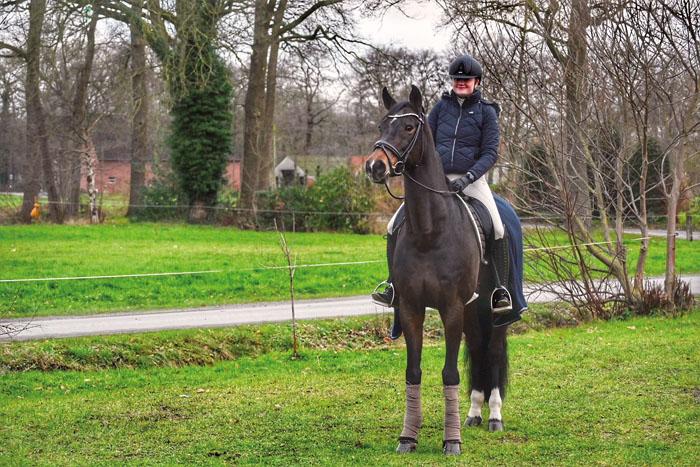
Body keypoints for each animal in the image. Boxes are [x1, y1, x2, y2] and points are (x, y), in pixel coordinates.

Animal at [366, 86, 508, 456]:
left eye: (409, 127)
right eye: (382, 124)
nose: (375, 166)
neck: (431, 229)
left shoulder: (451, 308)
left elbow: (449, 373)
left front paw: (452, 440)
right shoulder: (411, 308)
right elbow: (413, 372)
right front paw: (408, 437)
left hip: (494, 308)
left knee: (493, 349)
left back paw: (494, 416)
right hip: (473, 310)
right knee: (478, 346)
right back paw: (474, 413)